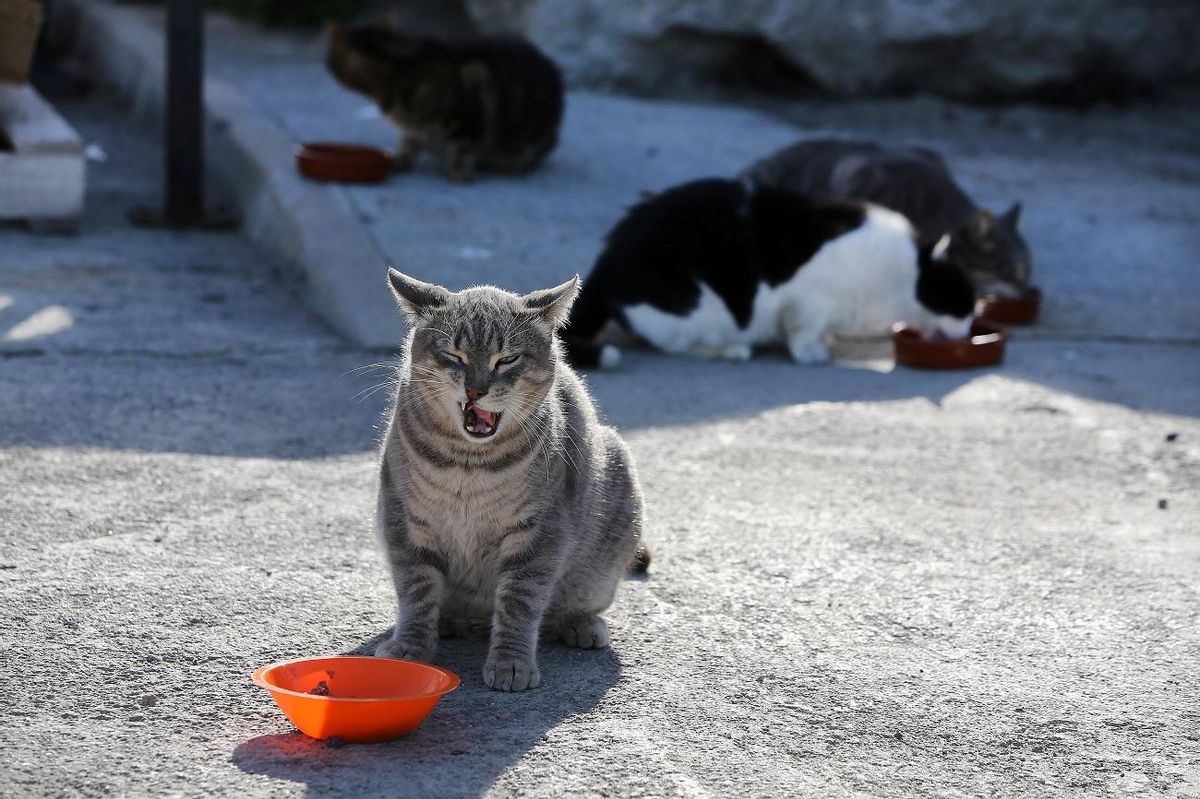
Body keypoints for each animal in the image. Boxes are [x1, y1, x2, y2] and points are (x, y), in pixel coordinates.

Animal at [326, 20, 564, 182]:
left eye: (330, 60)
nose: (327, 65)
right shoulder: (413, 129)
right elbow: (409, 141)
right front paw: (400, 160)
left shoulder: (468, 108)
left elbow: (463, 148)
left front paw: (459, 174)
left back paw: (514, 165)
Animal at [374, 268, 648, 691]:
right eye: (454, 356)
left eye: (507, 359)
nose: (475, 389)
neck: (467, 464)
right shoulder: (404, 519)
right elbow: (415, 590)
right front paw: (410, 648)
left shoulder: (539, 533)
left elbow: (520, 602)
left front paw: (511, 663)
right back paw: (447, 623)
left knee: (564, 607)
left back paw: (581, 624)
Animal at [564, 177, 974, 367]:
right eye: (962, 307)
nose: (968, 331)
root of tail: (607, 257)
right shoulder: (808, 297)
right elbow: (802, 329)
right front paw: (811, 352)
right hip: (698, 307)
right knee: (678, 343)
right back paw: (732, 349)